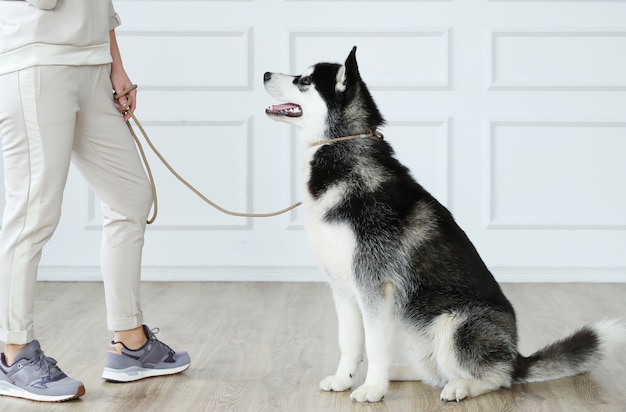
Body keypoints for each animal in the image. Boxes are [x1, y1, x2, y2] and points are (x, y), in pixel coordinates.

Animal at [260, 45, 620, 402]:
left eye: (304, 80)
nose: (264, 73)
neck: (344, 149)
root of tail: (517, 356)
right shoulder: (343, 288)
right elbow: (349, 342)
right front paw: (343, 379)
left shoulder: (374, 287)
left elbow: (374, 346)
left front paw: (372, 389)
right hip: (412, 325)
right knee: (435, 371)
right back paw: (400, 373)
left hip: (453, 323)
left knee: (496, 377)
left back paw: (460, 386)